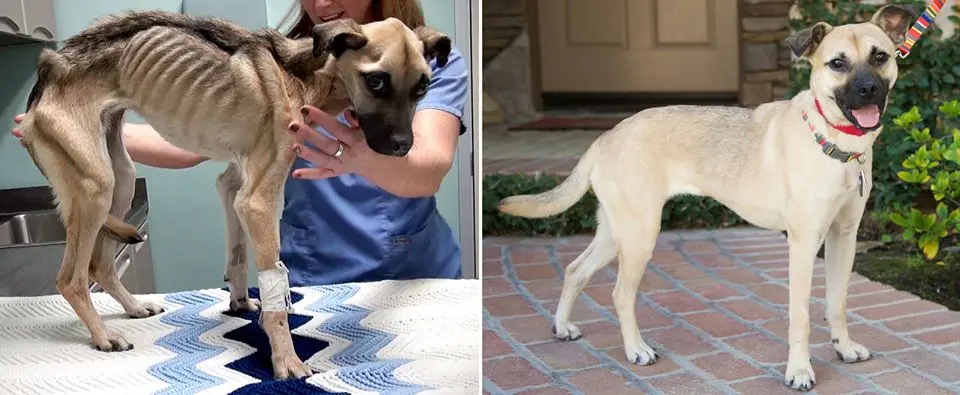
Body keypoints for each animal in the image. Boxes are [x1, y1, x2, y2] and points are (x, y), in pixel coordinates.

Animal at [15, 10, 450, 380]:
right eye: (375, 81)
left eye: (424, 86)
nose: (402, 148)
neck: (303, 75)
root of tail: (49, 70)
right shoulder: (257, 200)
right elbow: (274, 287)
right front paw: (286, 359)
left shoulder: (234, 186)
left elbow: (239, 255)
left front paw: (240, 304)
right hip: (95, 188)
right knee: (71, 278)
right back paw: (103, 335)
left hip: (120, 181)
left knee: (102, 266)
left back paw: (135, 307)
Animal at [498, 4, 920, 392]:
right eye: (837, 63)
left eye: (879, 56)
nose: (868, 89)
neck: (835, 143)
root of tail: (606, 136)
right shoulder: (803, 244)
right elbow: (800, 315)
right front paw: (799, 371)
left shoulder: (843, 236)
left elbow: (838, 301)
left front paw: (843, 348)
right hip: (639, 235)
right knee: (620, 293)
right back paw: (636, 350)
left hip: (616, 231)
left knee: (575, 270)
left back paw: (562, 326)